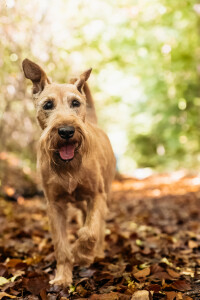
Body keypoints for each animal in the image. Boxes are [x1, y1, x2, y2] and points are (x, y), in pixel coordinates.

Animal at [21, 58, 115, 286]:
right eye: (48, 105)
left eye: (75, 103)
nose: (66, 131)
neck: (70, 166)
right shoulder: (54, 205)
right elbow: (61, 246)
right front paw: (62, 278)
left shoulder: (96, 196)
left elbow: (90, 231)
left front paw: (82, 254)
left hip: (104, 195)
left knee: (99, 227)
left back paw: (97, 252)